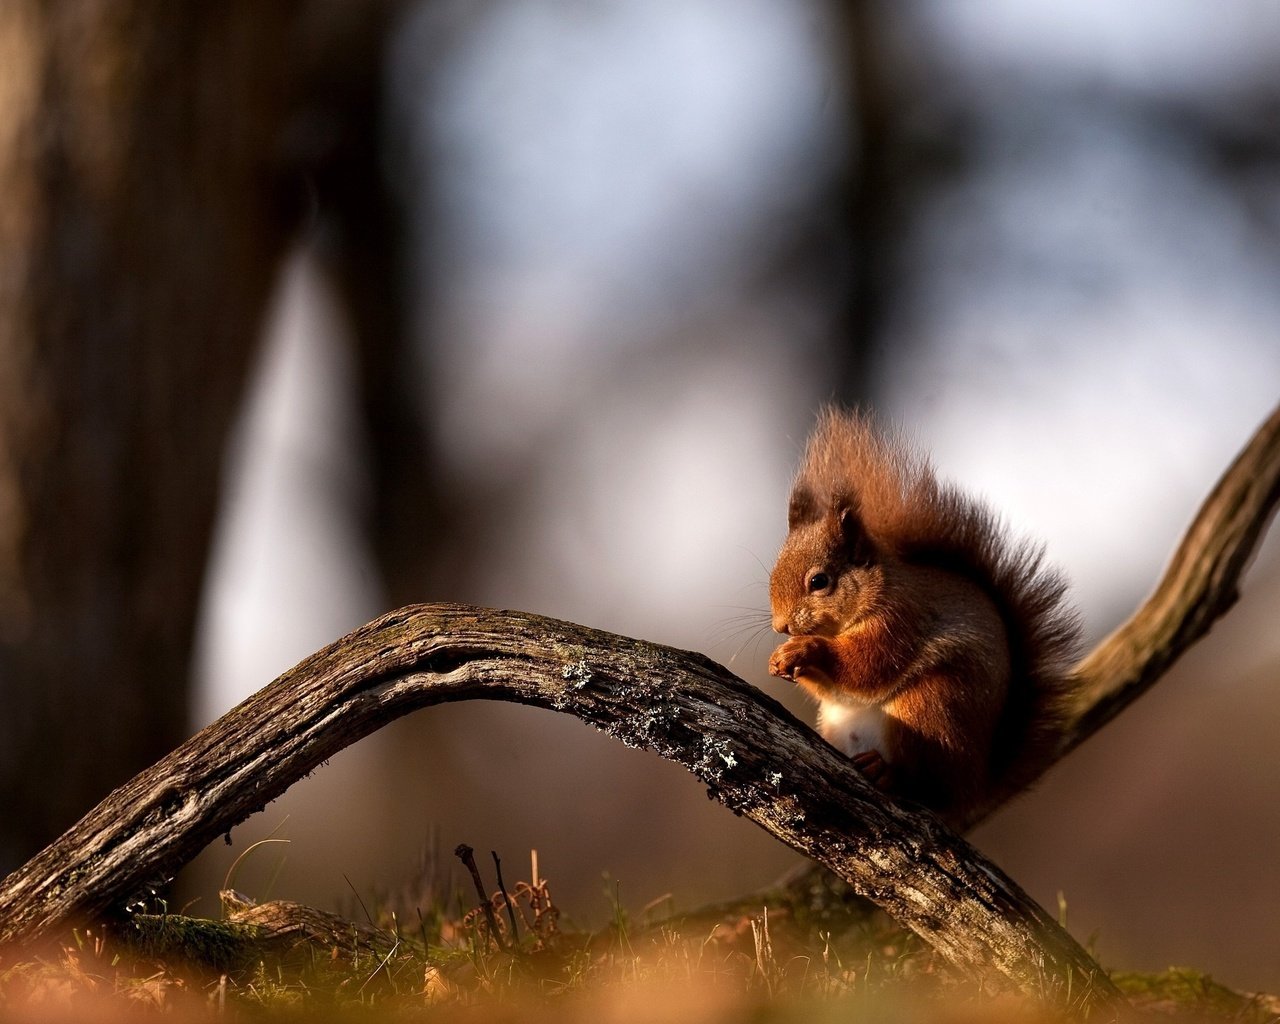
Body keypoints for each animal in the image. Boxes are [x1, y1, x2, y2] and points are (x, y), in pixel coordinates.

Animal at [768, 407, 1080, 824]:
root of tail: (973, 789)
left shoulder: (901, 620)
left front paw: (805, 650)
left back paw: (888, 773)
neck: (877, 590)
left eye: (820, 581)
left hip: (931, 709)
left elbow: (865, 667)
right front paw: (782, 660)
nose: (781, 626)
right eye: (773, 572)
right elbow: (835, 688)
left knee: (926, 785)